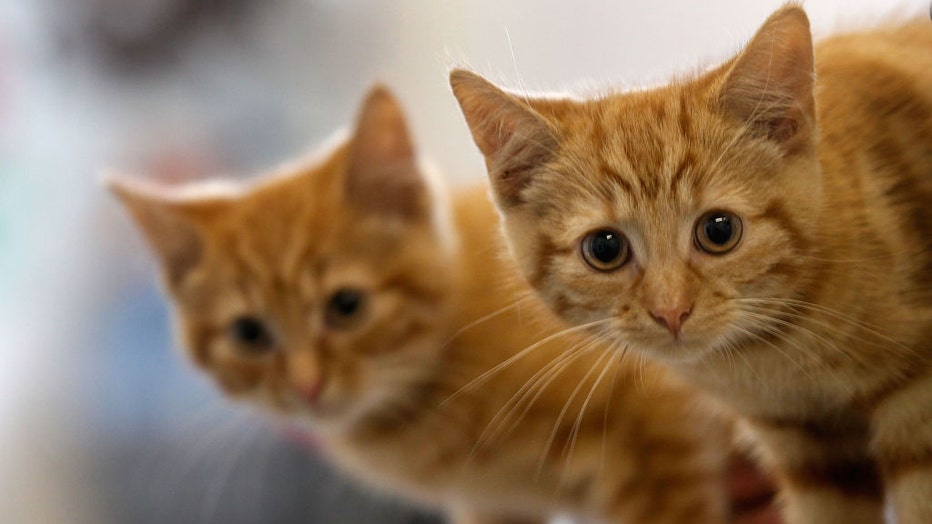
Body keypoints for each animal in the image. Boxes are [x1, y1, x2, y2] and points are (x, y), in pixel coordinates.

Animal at [452, 4, 932, 524]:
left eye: (719, 231)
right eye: (604, 248)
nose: (671, 311)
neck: (774, 358)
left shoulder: (917, 411)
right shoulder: (809, 450)